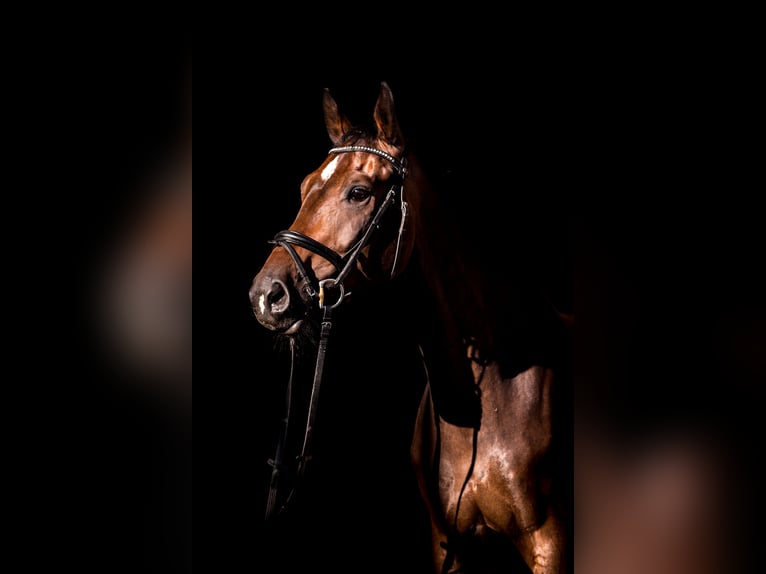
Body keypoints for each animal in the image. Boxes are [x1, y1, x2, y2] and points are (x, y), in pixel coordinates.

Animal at [250, 81, 572, 573]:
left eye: (359, 192)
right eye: (304, 186)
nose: (267, 295)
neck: (495, 396)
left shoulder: (550, 544)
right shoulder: (446, 545)